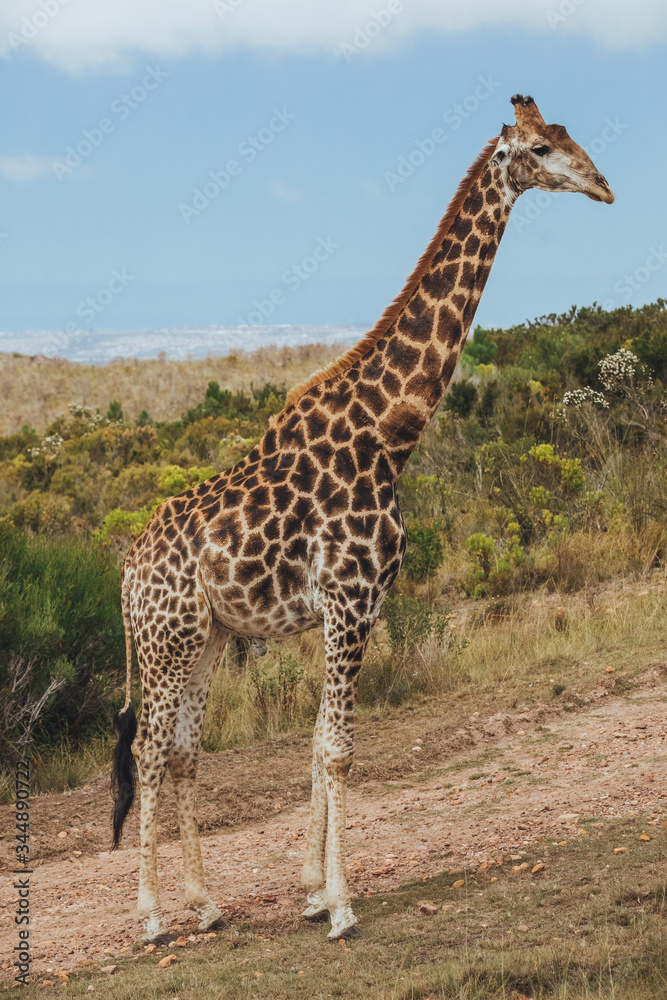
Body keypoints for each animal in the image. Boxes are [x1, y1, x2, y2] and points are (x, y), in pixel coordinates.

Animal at [111, 95, 613, 943]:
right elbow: (339, 750)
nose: (604, 187)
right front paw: (341, 907)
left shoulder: (353, 605)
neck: (390, 431)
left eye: (570, 135)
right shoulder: (350, 599)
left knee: (180, 751)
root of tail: (124, 570)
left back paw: (206, 905)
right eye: (542, 148)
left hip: (205, 637)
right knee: (148, 749)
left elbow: (318, 745)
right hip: (165, 639)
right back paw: (150, 918)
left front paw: (313, 891)